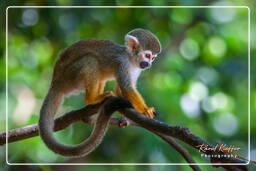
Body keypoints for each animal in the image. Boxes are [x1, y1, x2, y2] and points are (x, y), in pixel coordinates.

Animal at [39, 28, 161, 156]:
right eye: (147, 55)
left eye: (153, 58)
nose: (149, 64)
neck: (131, 59)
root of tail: (55, 83)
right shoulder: (122, 64)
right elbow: (126, 88)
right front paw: (145, 110)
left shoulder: (136, 69)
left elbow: (120, 89)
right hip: (69, 78)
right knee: (91, 60)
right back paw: (91, 99)